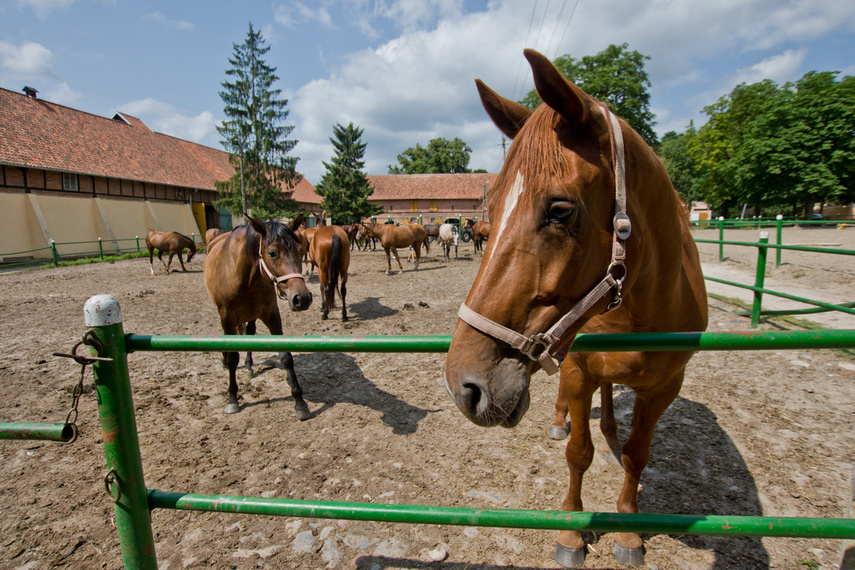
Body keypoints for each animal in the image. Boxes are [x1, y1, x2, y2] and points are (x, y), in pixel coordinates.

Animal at [204, 213, 314, 418]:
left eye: (299, 250)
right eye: (272, 253)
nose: (302, 298)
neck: (243, 277)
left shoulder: (271, 315)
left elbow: (285, 356)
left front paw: (299, 401)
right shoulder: (227, 318)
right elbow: (232, 357)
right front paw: (232, 398)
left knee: (249, 333)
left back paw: (248, 364)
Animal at [442, 51, 708, 564]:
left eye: (560, 210)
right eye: (489, 212)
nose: (464, 386)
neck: (640, 310)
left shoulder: (665, 388)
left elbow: (638, 455)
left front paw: (629, 532)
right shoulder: (578, 370)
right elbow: (578, 454)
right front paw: (570, 531)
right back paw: (561, 422)